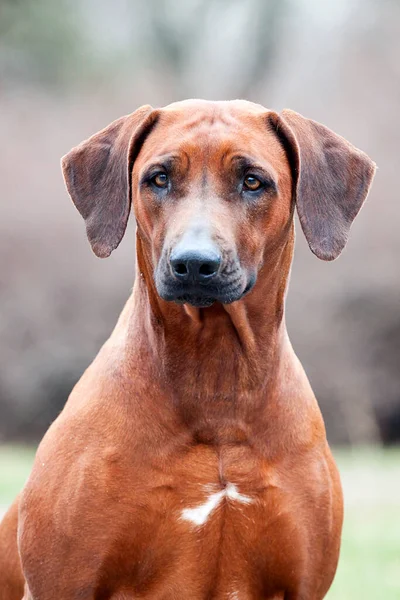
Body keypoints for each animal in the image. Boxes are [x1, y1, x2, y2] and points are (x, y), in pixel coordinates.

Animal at [0, 101, 376, 596]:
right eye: (159, 178)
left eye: (252, 181)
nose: (194, 263)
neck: (216, 383)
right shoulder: (61, 585)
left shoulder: (303, 585)